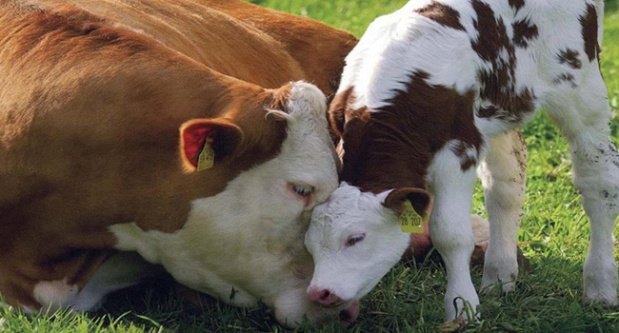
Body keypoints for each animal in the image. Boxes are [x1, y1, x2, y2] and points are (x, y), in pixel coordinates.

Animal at [306, 0, 616, 322]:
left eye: (355, 238)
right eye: (309, 245)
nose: (319, 293)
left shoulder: (458, 151)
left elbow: (449, 234)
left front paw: (462, 308)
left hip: (582, 89)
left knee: (599, 181)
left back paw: (600, 286)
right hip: (501, 111)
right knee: (506, 185)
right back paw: (499, 277)